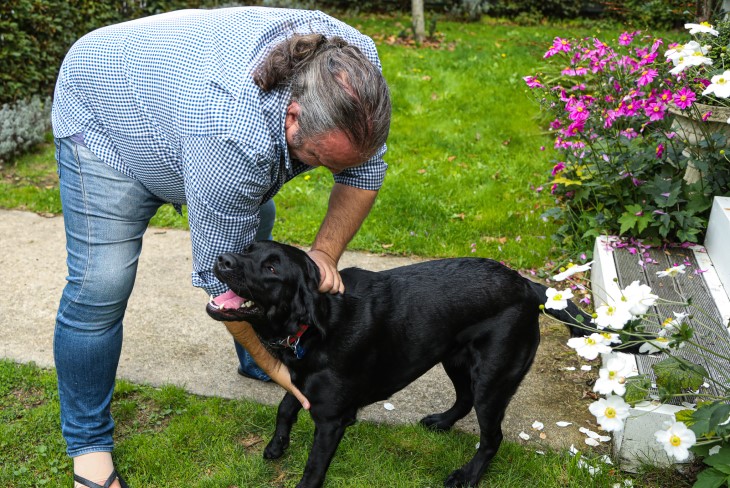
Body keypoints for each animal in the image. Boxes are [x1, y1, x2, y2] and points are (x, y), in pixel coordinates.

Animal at [206, 241, 592, 488]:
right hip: (454, 357)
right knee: (464, 399)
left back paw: (467, 476)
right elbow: (285, 407)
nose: (222, 259)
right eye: (248, 249)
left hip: (493, 378)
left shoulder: (331, 420)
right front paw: (277, 445)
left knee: (492, 437)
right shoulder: (303, 383)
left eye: (271, 268)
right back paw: (442, 422)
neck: (318, 323)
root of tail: (528, 286)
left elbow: (314, 468)